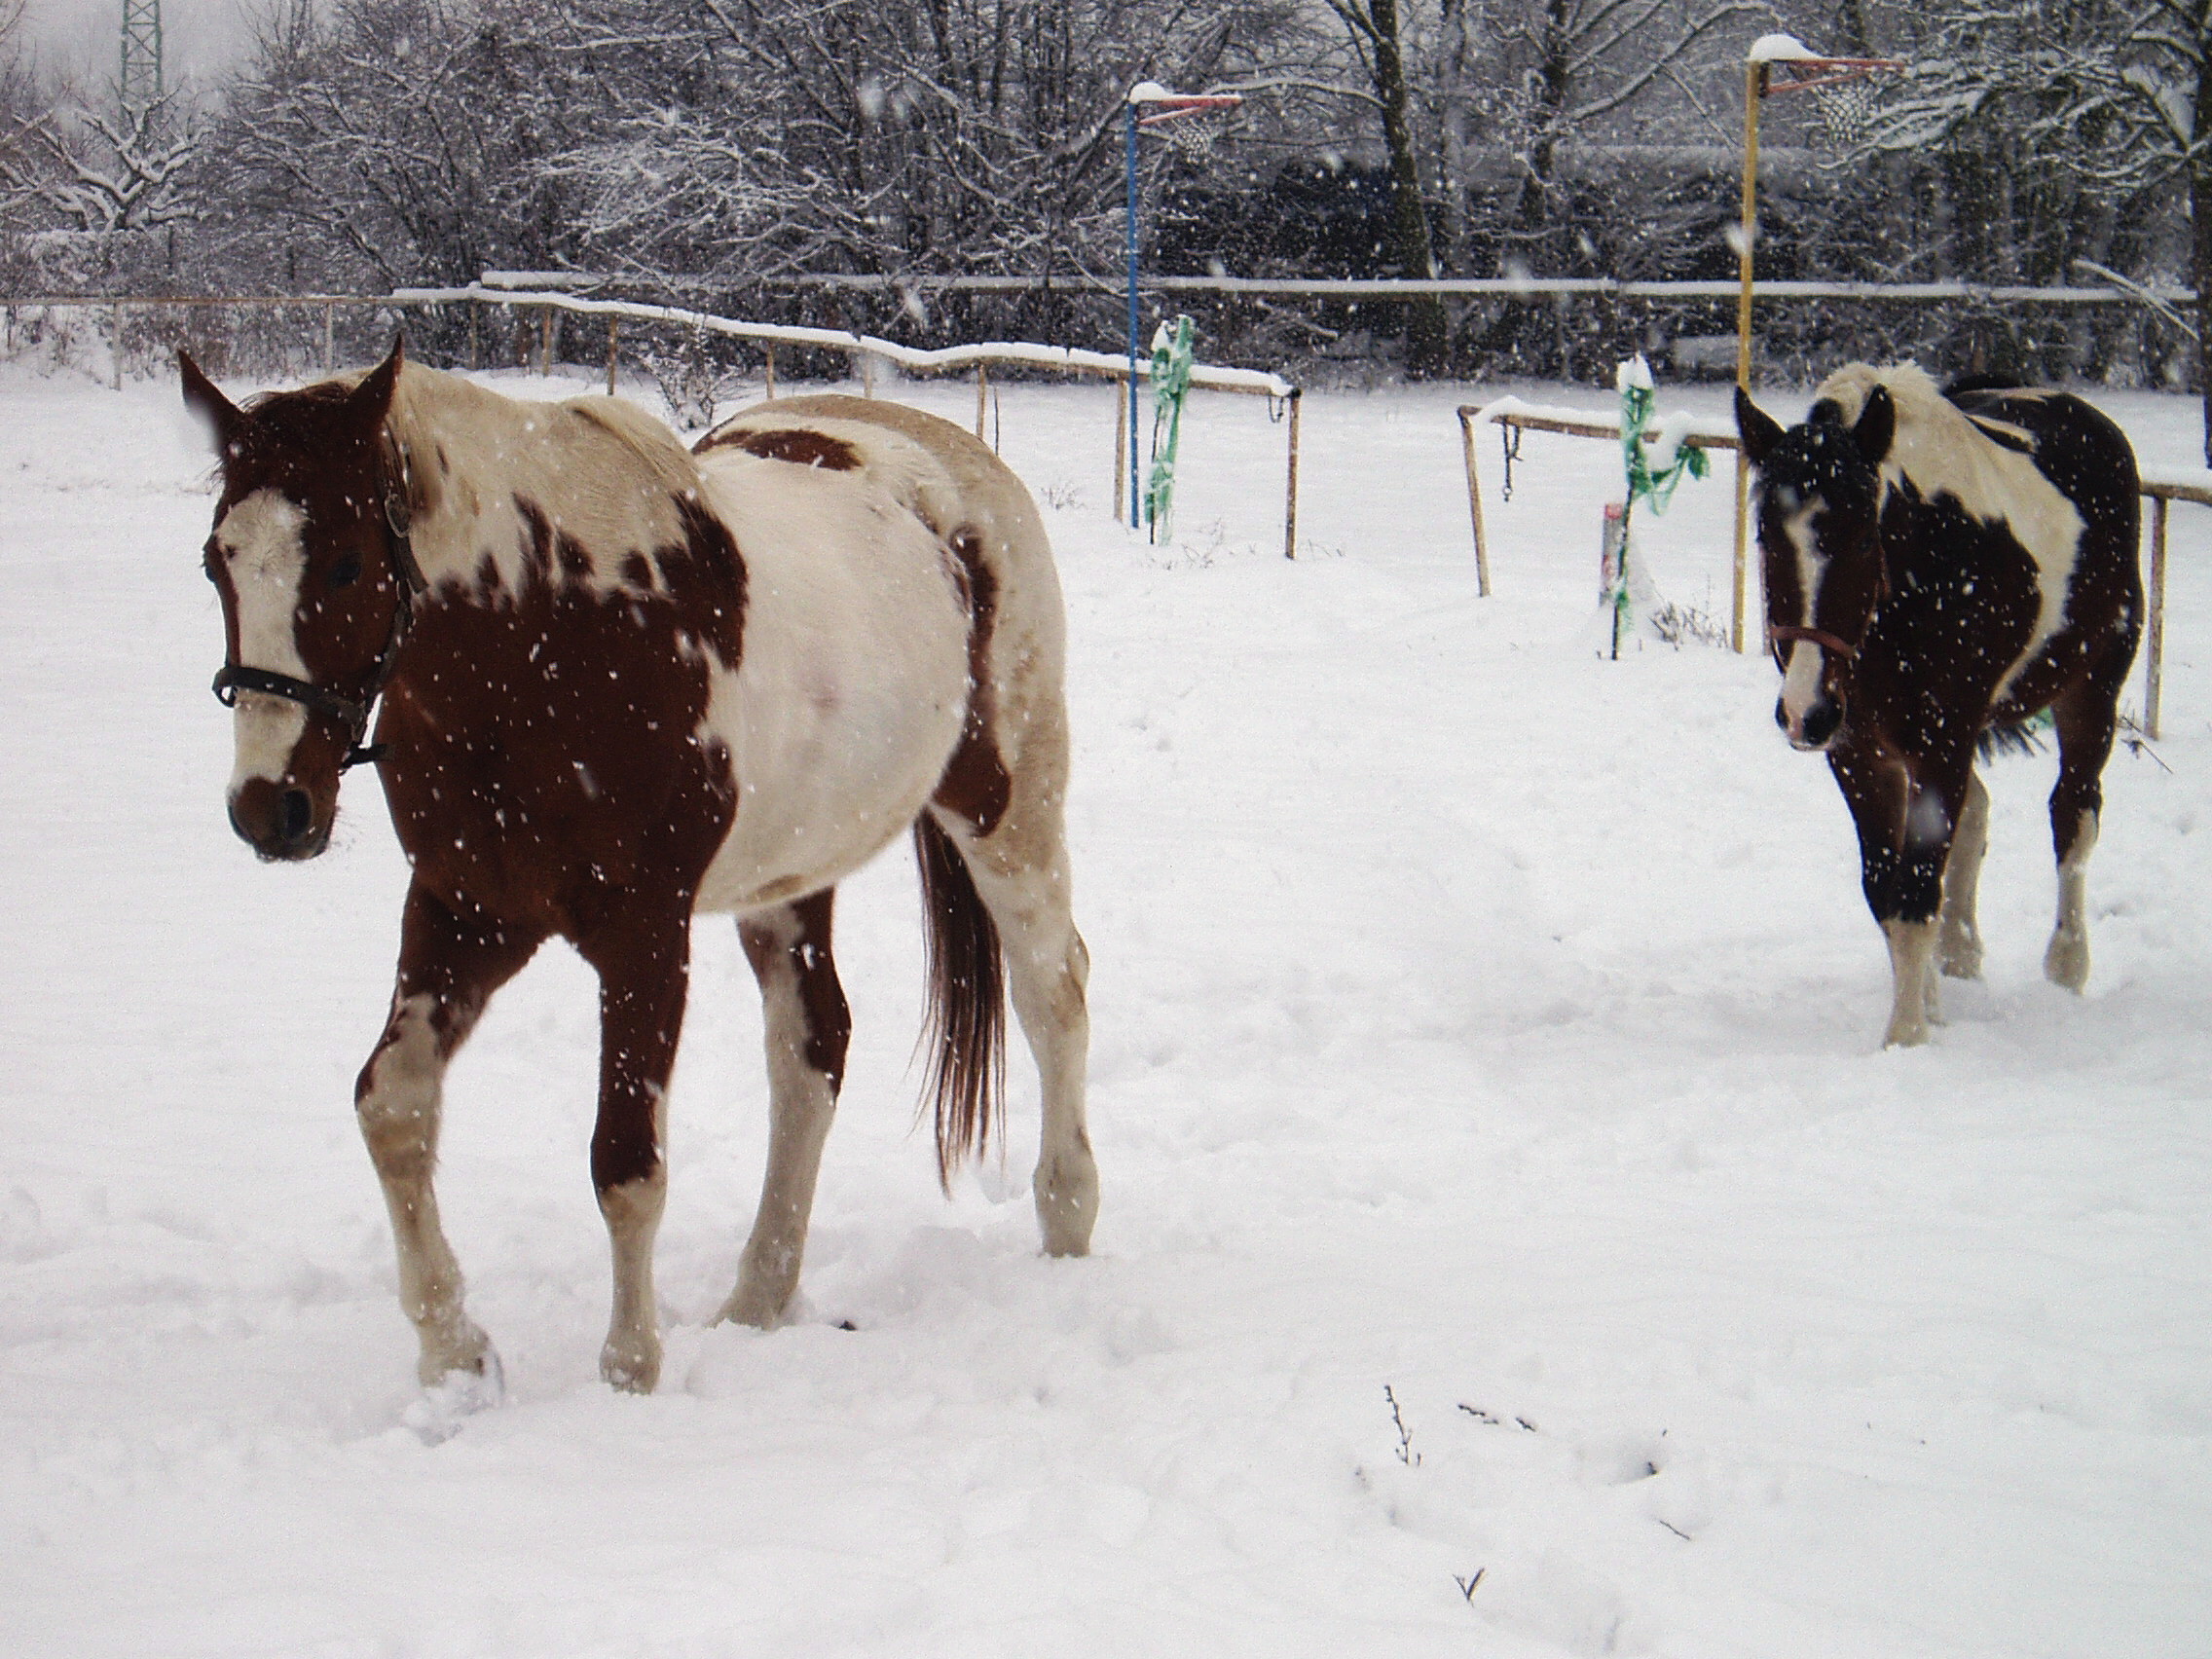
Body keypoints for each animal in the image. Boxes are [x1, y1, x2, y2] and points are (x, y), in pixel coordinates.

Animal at [181, 340, 1096, 1406]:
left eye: (345, 560)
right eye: (216, 561)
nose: (269, 806)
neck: (549, 639)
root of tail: (956, 469)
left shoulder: (644, 935)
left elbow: (625, 1162)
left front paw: (629, 1373)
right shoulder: (466, 911)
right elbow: (392, 1107)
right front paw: (455, 1353)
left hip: (1007, 811)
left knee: (1053, 992)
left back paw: (1068, 1220)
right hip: (787, 878)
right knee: (811, 1049)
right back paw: (758, 1298)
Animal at [1725, 367, 2141, 1052]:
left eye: (1862, 536)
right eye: (1764, 535)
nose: (1805, 711)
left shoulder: (1940, 740)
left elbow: (1916, 893)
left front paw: (1908, 1037)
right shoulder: (1859, 755)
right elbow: (1886, 892)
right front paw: (1930, 1008)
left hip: (2091, 693)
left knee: (2074, 817)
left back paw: (2067, 965)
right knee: (1977, 813)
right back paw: (1961, 953)